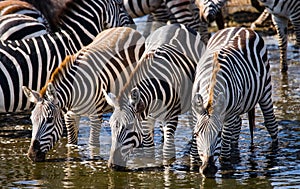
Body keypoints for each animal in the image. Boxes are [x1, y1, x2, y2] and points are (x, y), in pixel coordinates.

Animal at [21, 27, 145, 162]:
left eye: (49, 120)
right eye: (32, 119)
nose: (32, 155)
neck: (74, 95)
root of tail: (127, 28)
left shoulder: (96, 116)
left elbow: (93, 145)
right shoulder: (70, 116)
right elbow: (71, 144)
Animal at [103, 23, 206, 168]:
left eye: (129, 126)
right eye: (111, 126)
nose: (112, 165)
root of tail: (176, 24)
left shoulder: (171, 117)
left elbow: (168, 152)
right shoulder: (146, 120)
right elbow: (149, 150)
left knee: (193, 123)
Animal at [191, 27, 278, 178]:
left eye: (218, 134)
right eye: (196, 135)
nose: (207, 169)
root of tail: (241, 28)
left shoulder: (229, 117)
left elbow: (224, 153)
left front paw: (226, 170)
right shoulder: (197, 114)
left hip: (265, 89)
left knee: (271, 124)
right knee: (238, 125)